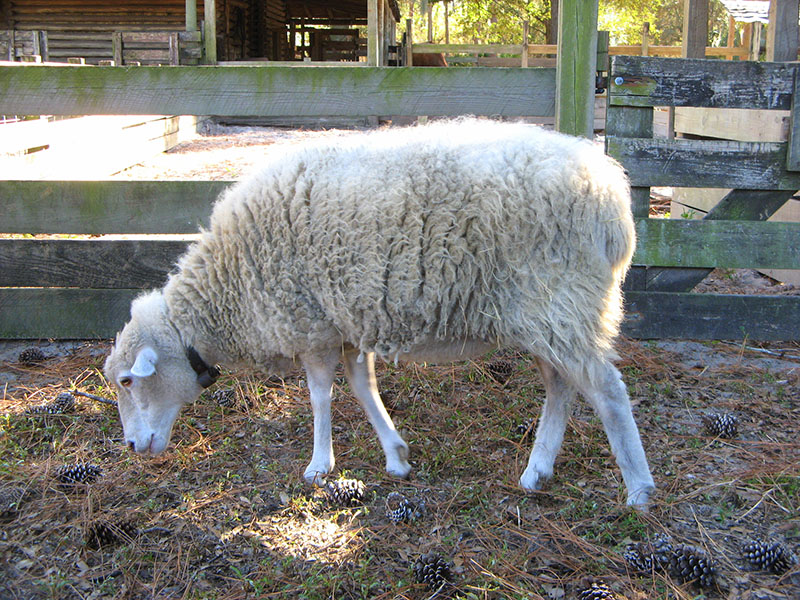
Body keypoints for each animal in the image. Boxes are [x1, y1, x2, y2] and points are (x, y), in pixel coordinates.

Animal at [104, 117, 656, 506]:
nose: (131, 448)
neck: (229, 287)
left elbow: (321, 397)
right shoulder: (348, 324)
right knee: (561, 386)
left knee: (607, 390)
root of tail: (612, 198)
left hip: (562, 302)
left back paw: (639, 490)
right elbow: (363, 387)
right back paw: (537, 471)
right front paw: (396, 456)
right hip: (547, 314)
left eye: (129, 381)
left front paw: (319, 465)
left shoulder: (313, 325)